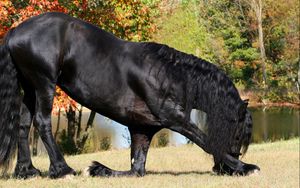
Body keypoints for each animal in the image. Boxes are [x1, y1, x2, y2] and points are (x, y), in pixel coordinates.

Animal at [0, 12, 258, 178]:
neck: (167, 74)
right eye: (238, 134)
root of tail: (15, 31)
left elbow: (136, 169)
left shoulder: (142, 130)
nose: (221, 169)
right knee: (42, 122)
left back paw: (27, 171)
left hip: (29, 87)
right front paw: (245, 167)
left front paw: (98, 169)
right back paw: (62, 170)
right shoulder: (174, 119)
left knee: (23, 125)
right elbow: (204, 140)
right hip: (44, 83)